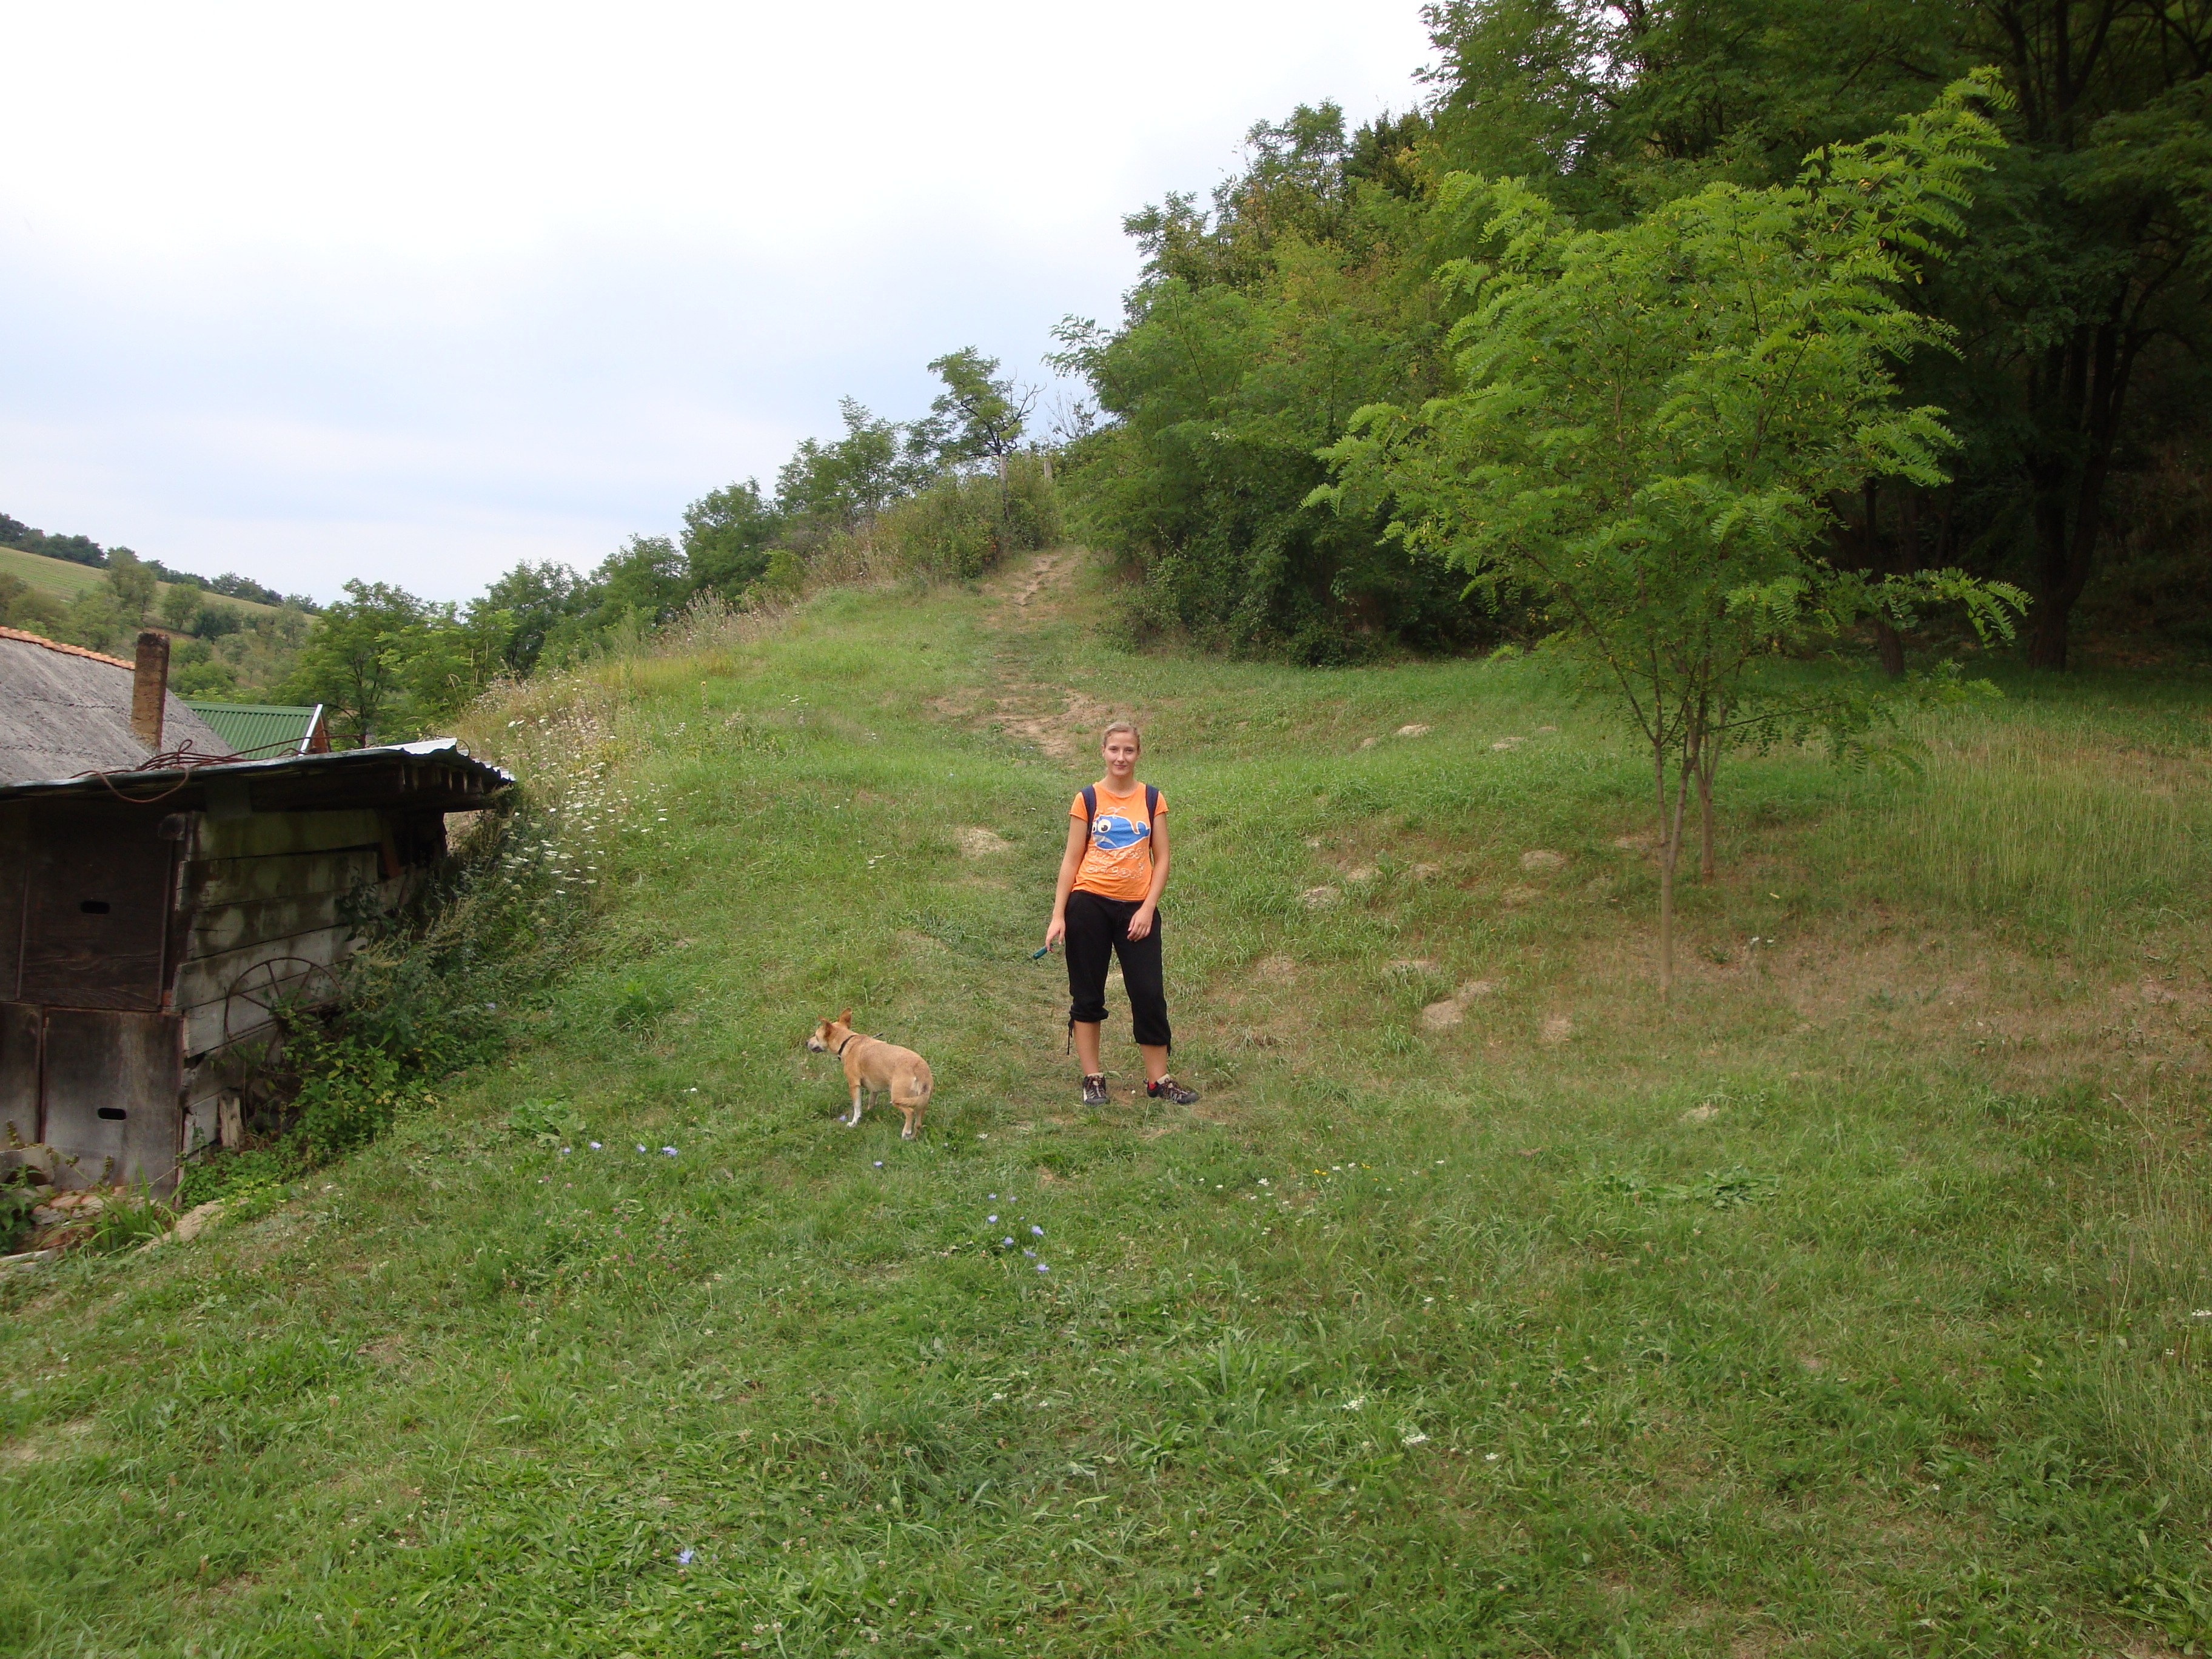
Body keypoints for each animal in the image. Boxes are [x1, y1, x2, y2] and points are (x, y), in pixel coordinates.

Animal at [805, 1009, 934, 1140]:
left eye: (816, 1036)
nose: (806, 1042)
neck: (847, 1042)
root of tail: (920, 1067)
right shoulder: (874, 1088)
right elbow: (871, 1102)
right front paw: (870, 1112)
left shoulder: (854, 1085)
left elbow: (857, 1108)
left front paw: (854, 1123)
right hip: (921, 1101)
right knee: (918, 1123)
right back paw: (912, 1137)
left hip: (898, 1097)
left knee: (909, 1112)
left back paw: (906, 1132)